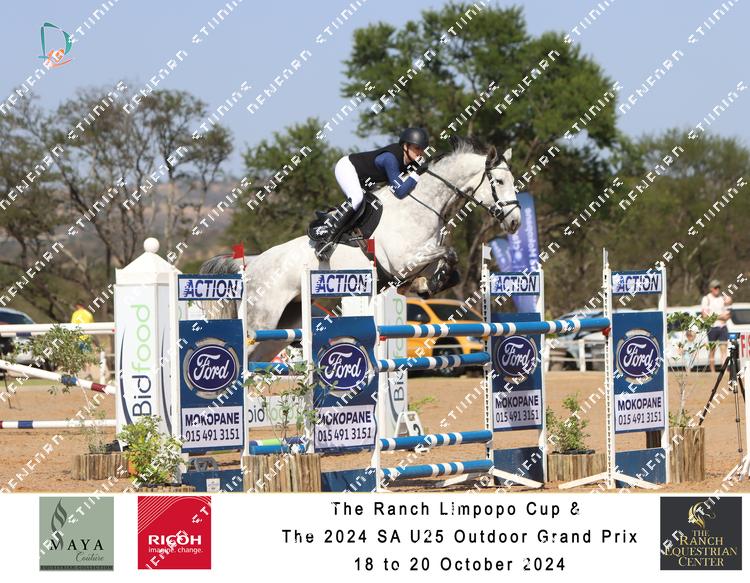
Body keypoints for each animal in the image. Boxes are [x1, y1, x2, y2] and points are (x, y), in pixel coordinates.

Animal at [200, 137, 521, 361]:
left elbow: (445, 265)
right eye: (499, 181)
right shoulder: (404, 259)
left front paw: (427, 284)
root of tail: (251, 265)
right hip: (260, 319)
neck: (422, 205)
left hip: (282, 327)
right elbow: (449, 254)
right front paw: (429, 282)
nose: (516, 221)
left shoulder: (420, 258)